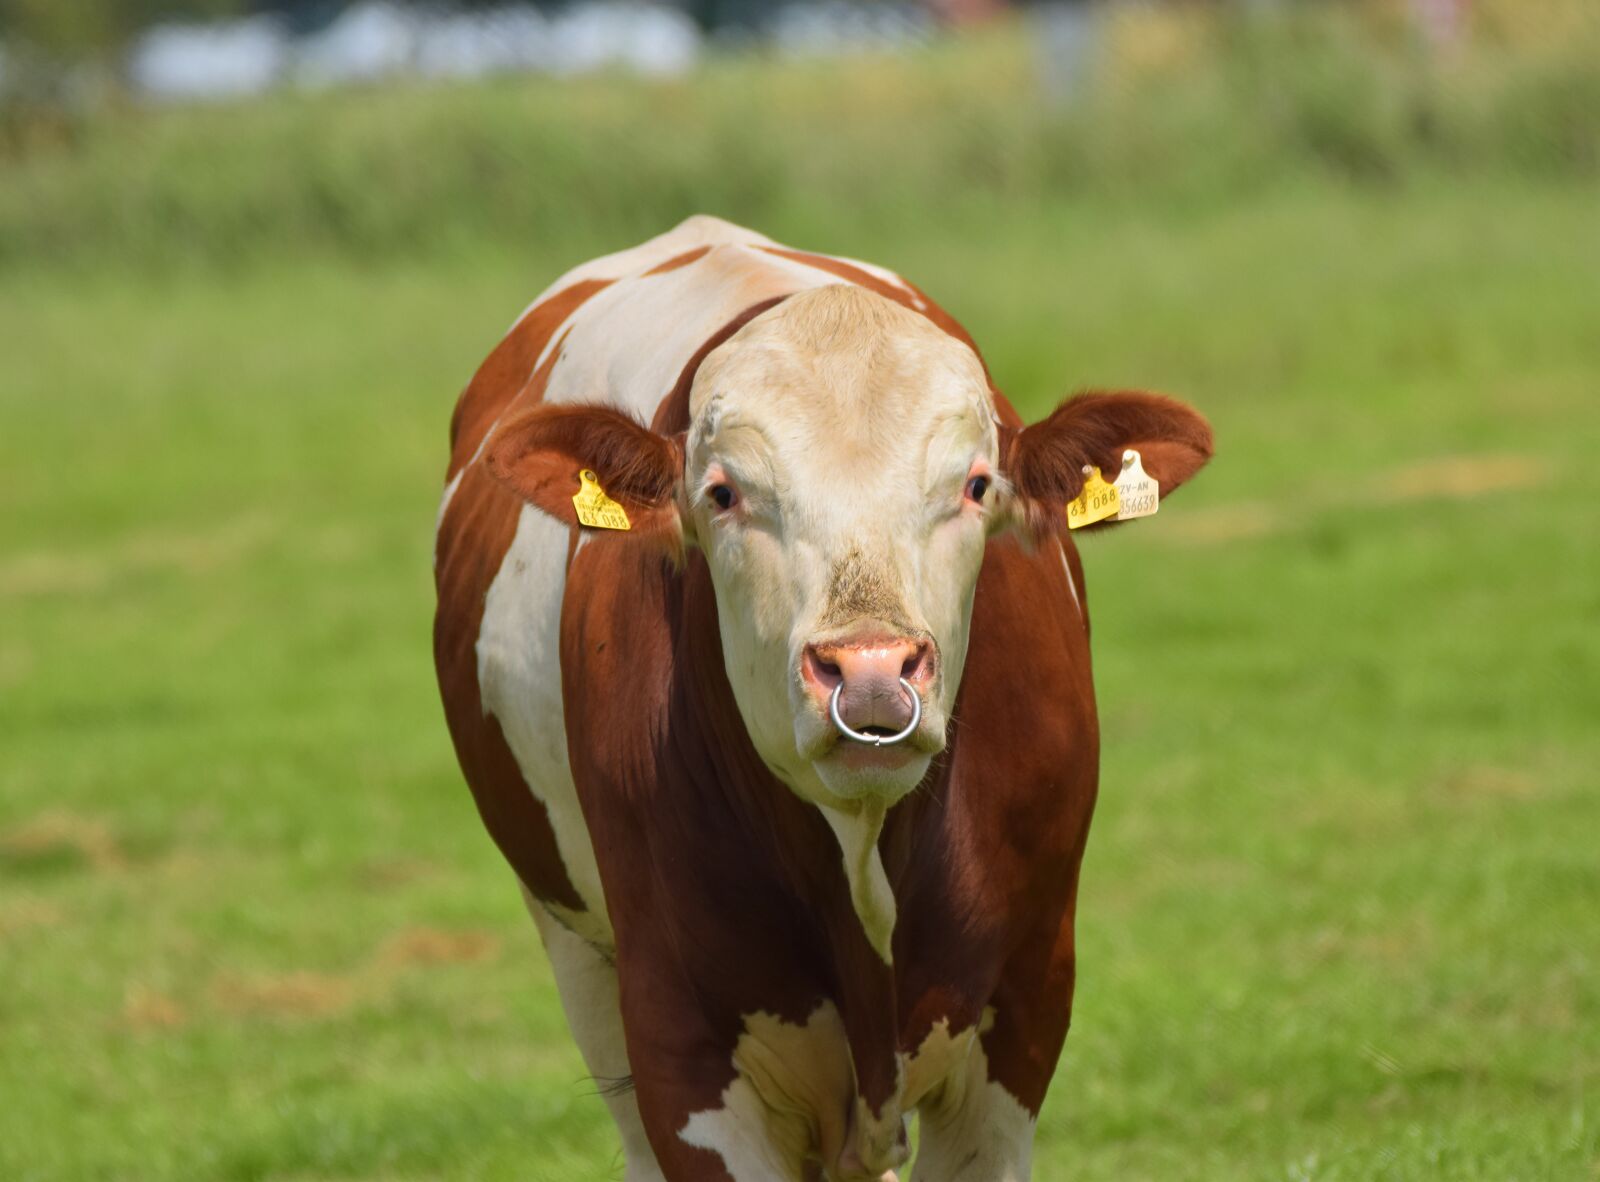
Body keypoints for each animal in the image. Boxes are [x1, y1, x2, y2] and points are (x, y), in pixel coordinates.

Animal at [433, 215, 1213, 1181]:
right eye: (723, 493)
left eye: (975, 485)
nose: (872, 669)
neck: (865, 855)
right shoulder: (681, 1051)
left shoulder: (1025, 1013)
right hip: (574, 945)